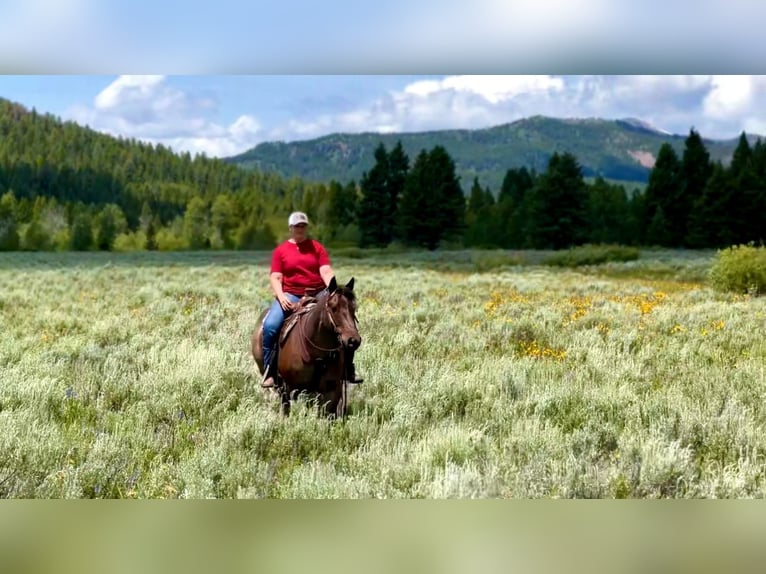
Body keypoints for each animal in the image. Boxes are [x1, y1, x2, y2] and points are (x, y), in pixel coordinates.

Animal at [251, 276, 361, 418]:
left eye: (354, 307)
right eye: (333, 307)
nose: (353, 340)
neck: (316, 352)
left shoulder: (332, 390)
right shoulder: (293, 387)